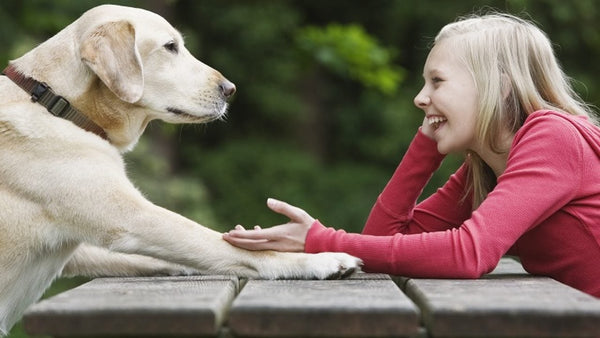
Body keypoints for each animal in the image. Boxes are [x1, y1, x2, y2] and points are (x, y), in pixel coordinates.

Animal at [0, 5, 360, 336]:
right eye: (170, 46)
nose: (230, 89)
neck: (55, 101)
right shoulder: (133, 218)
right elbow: (222, 244)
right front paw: (319, 260)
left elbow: (172, 256)